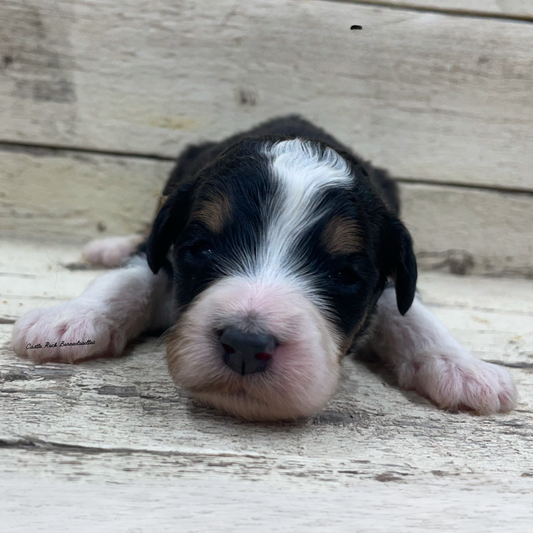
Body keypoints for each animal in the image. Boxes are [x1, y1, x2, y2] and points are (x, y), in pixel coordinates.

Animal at [11, 115, 516, 420]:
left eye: (344, 276)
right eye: (201, 250)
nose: (245, 345)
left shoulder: (391, 280)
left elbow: (410, 313)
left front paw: (461, 366)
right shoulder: (166, 252)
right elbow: (134, 275)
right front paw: (70, 320)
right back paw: (107, 247)